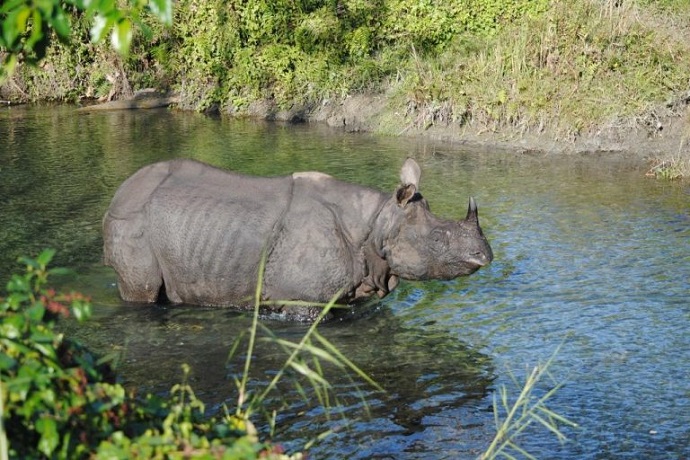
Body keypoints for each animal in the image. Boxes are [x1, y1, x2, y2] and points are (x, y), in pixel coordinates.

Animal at [102, 158, 490, 320]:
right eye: (437, 240)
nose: (485, 255)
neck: (380, 222)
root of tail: (119, 193)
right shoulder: (302, 300)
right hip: (131, 221)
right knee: (143, 294)